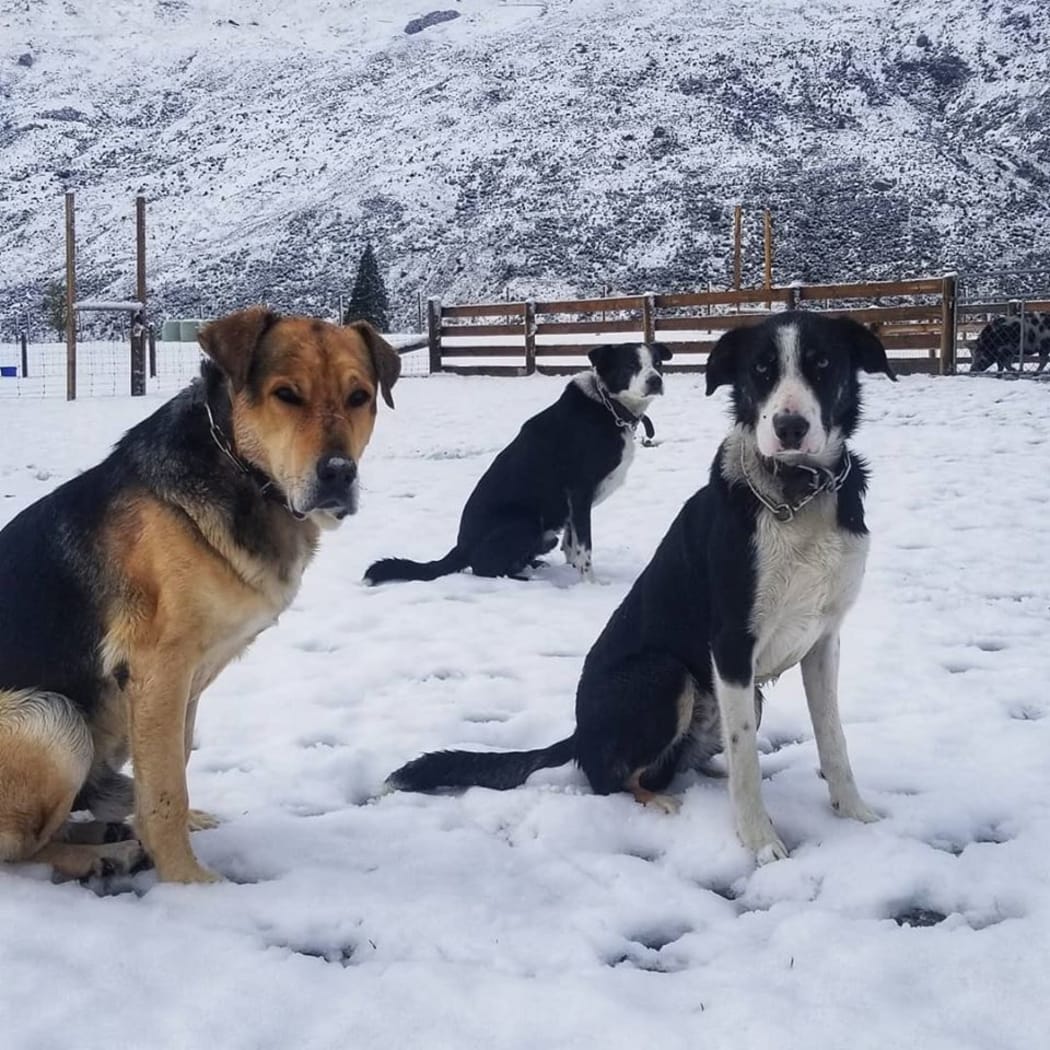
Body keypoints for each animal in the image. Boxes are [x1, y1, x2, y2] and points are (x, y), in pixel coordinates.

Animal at [0, 306, 396, 886]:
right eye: (286, 394)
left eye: (360, 396)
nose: (339, 474)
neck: (242, 471)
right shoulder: (158, 667)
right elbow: (165, 791)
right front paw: (188, 883)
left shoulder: (186, 681)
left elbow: (175, 765)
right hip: (52, 720)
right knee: (18, 850)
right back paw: (103, 855)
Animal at [365, 344, 667, 588]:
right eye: (630, 365)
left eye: (657, 363)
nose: (656, 380)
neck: (609, 406)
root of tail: (461, 547)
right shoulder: (579, 492)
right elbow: (585, 547)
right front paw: (590, 584)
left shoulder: (572, 504)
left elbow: (572, 544)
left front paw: (573, 570)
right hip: (526, 524)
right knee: (483, 568)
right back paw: (523, 578)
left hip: (545, 534)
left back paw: (533, 566)